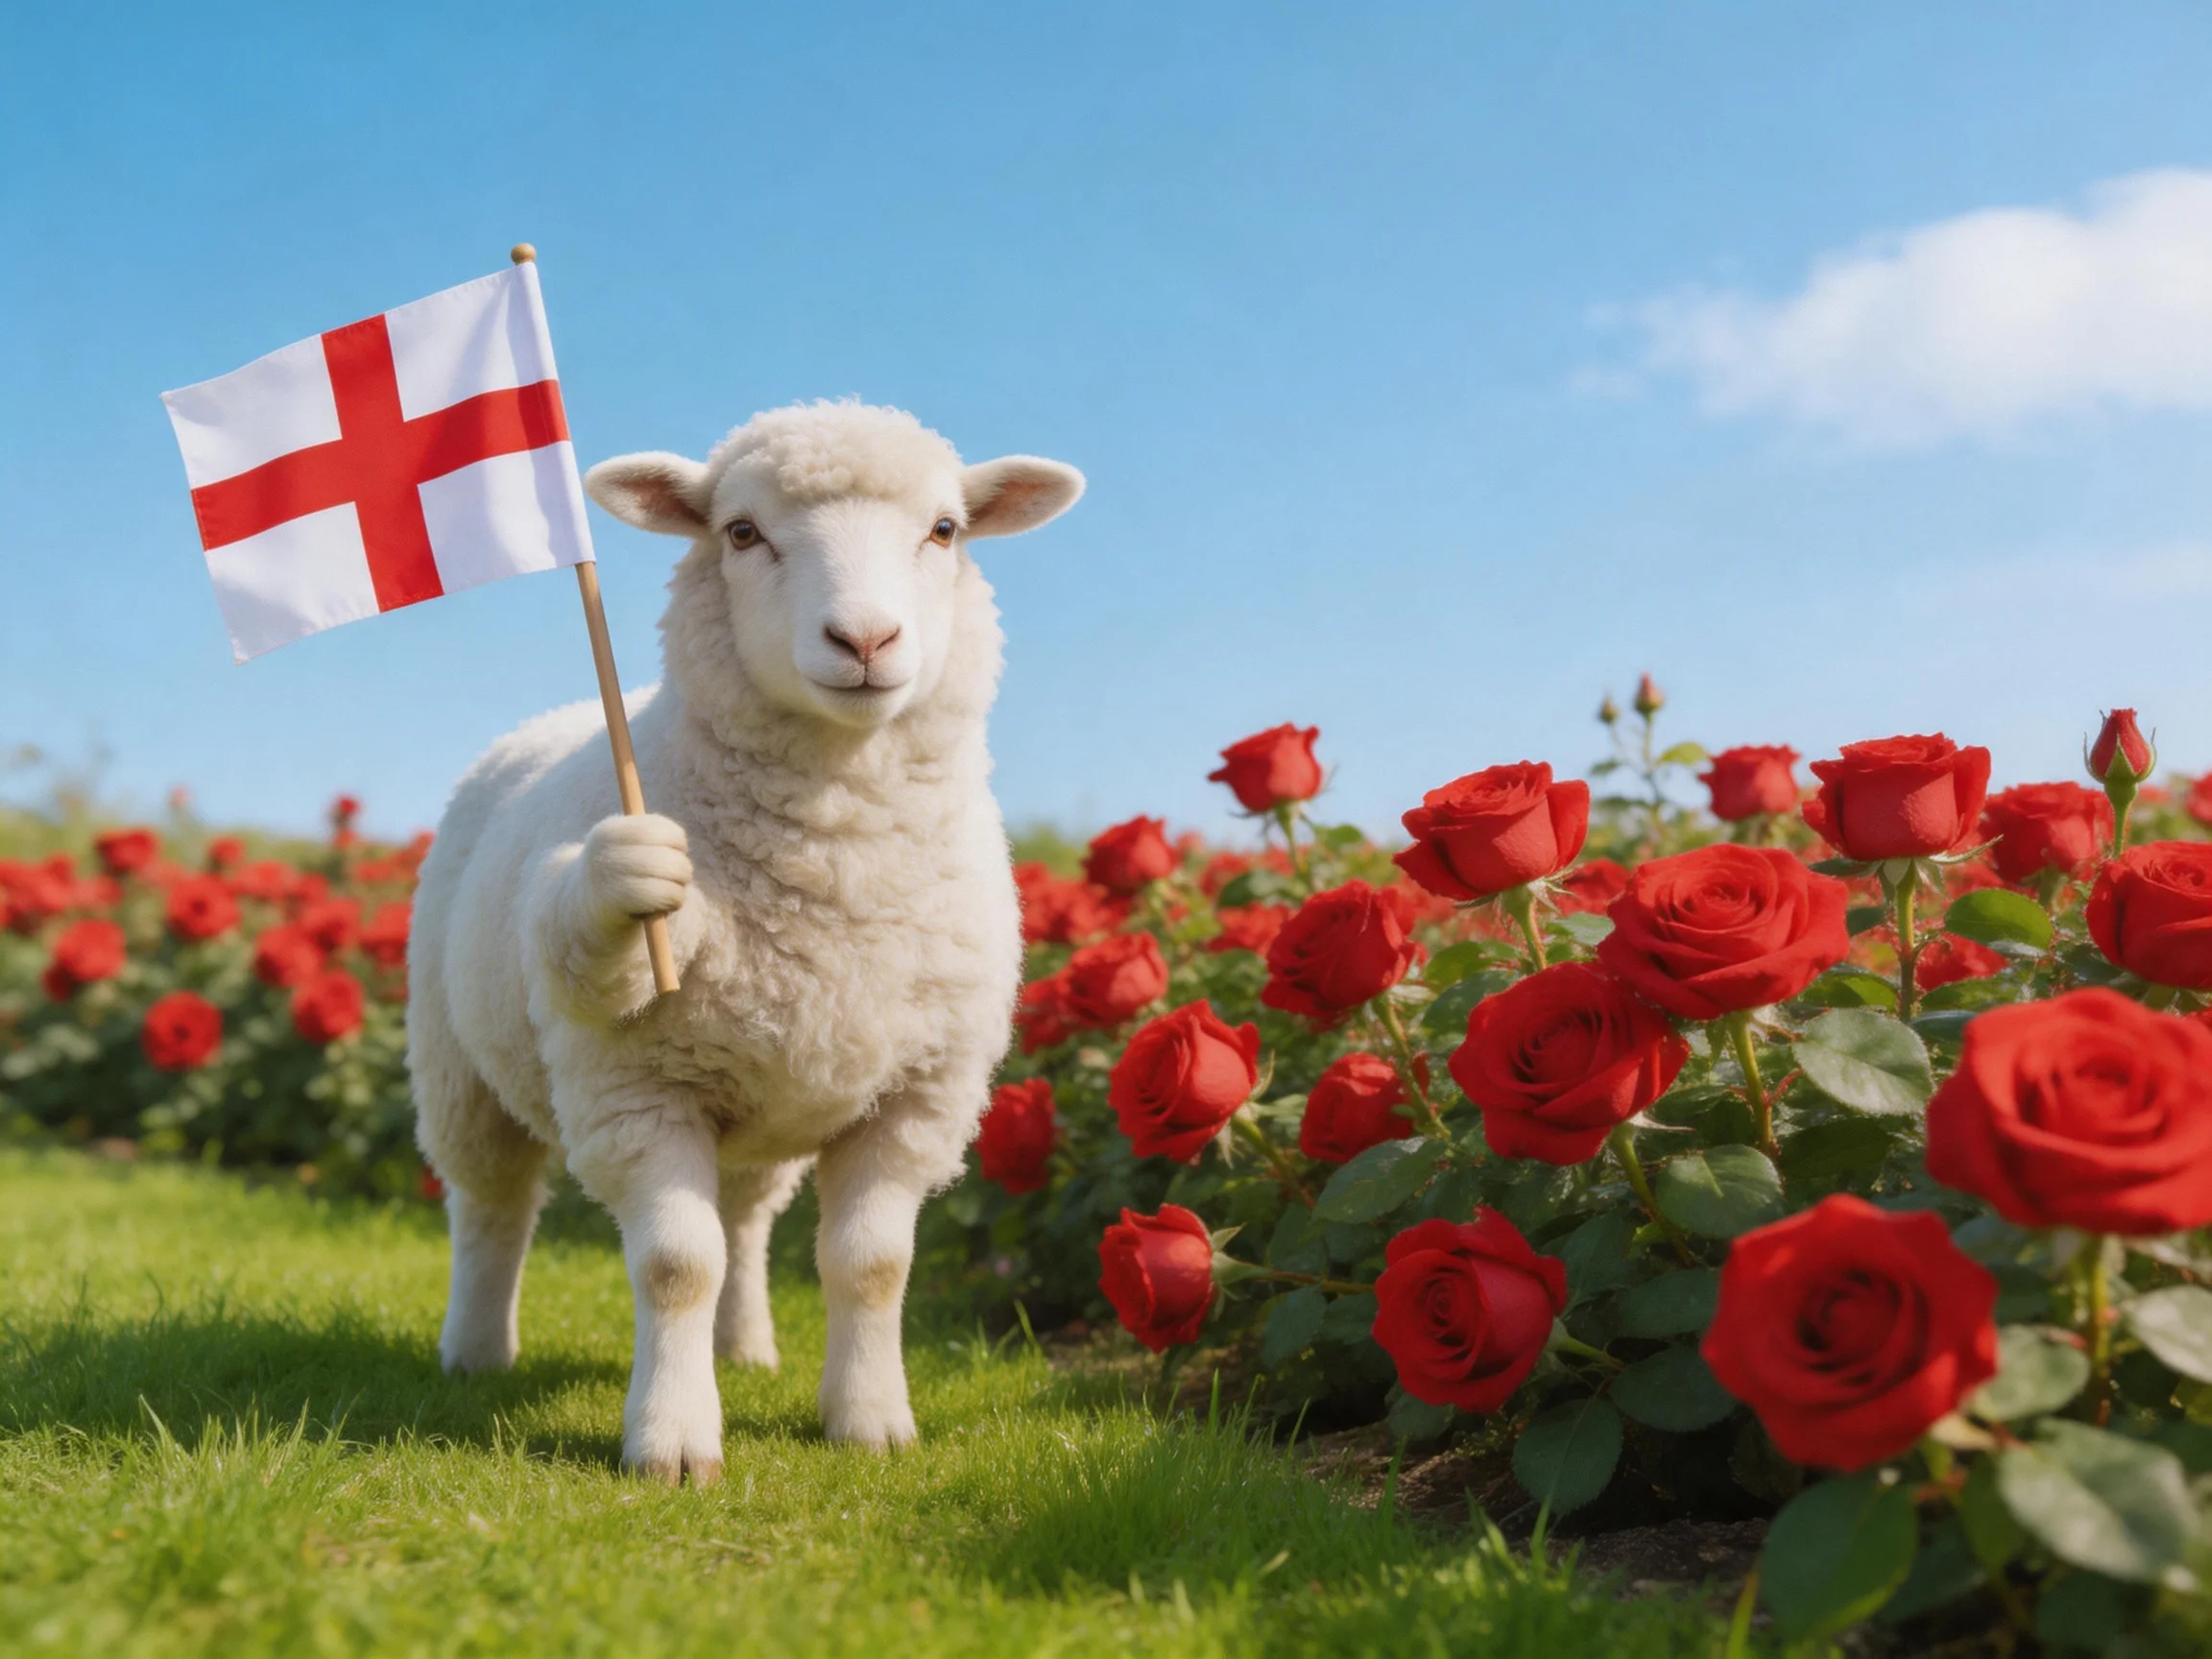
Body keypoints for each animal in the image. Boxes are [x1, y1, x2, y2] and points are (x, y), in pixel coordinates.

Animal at [407, 401, 1083, 1480]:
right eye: (741, 532)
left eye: (946, 531)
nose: (865, 637)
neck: (837, 857)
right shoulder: (635, 1082)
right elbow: (676, 1264)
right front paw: (673, 1440)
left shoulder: (917, 1094)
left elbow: (871, 1264)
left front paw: (869, 1419)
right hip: (458, 1065)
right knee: (492, 1208)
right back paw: (476, 1351)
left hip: (763, 1096)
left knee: (744, 1221)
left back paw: (746, 1348)